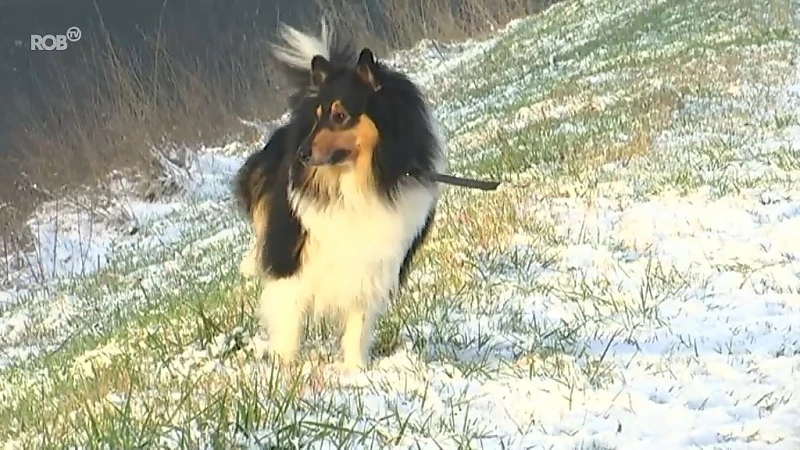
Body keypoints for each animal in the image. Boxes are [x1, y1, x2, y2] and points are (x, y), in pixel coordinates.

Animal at [231, 20, 446, 372]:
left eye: (340, 115)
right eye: (318, 116)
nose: (301, 153)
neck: (356, 183)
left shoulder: (371, 265)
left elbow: (358, 325)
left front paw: (355, 372)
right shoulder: (292, 257)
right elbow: (288, 318)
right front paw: (285, 371)